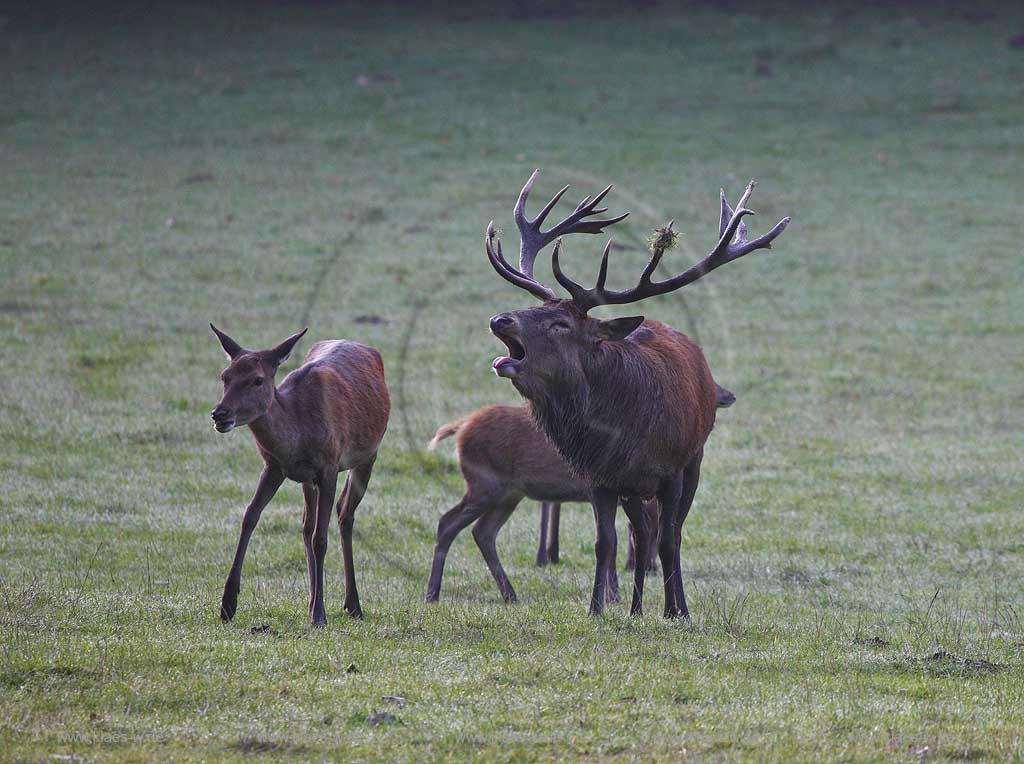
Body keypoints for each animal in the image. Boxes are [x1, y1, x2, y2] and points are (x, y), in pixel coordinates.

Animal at [207, 323, 387, 626]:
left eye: (257, 380)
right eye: (225, 376)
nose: (220, 414)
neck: (297, 432)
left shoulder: (328, 466)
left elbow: (320, 538)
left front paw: (320, 615)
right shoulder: (274, 466)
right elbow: (250, 517)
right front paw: (227, 604)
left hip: (367, 455)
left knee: (345, 514)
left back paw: (352, 604)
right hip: (308, 480)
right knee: (307, 524)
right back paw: (314, 599)